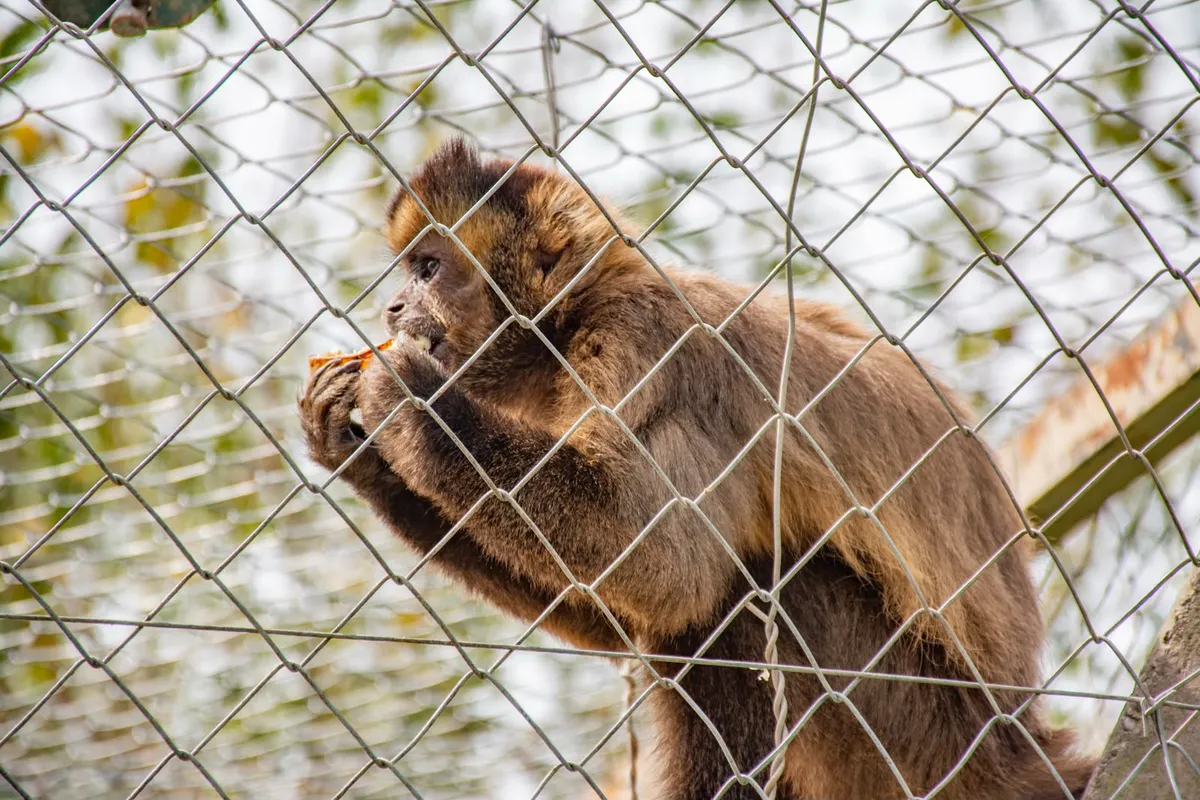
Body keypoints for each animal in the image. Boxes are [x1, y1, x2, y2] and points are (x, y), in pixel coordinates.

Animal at [298, 138, 1096, 800]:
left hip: (928, 729)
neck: (567, 328)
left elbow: (670, 566)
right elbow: (626, 613)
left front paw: (413, 405)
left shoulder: (646, 340)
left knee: (753, 589)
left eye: (429, 268)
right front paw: (357, 453)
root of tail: (1020, 744)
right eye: (408, 272)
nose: (392, 306)